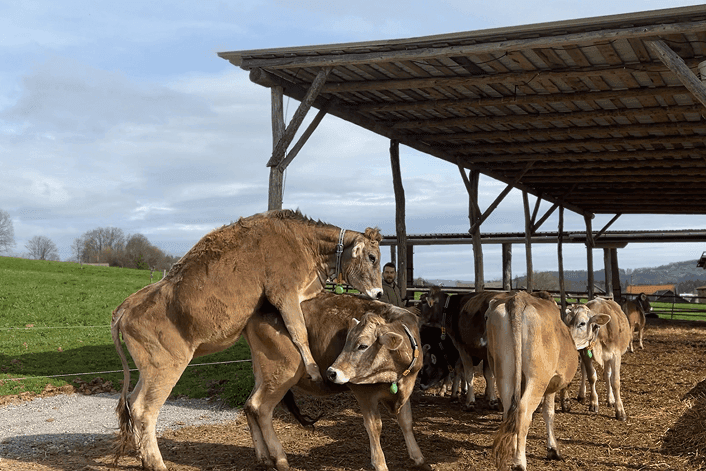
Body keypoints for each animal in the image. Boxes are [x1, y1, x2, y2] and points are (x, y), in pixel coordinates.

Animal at [111, 210, 383, 471]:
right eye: (372, 257)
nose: (379, 292)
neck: (301, 240)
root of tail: (126, 306)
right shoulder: (283, 292)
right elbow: (298, 331)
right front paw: (314, 369)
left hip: (148, 371)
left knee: (132, 402)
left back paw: (145, 459)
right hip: (165, 368)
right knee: (144, 410)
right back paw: (156, 463)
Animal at [486, 291, 579, 471]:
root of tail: (519, 297)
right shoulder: (551, 383)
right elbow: (549, 413)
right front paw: (553, 450)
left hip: (504, 369)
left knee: (509, 408)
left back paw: (512, 449)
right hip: (538, 378)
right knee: (523, 410)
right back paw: (519, 462)